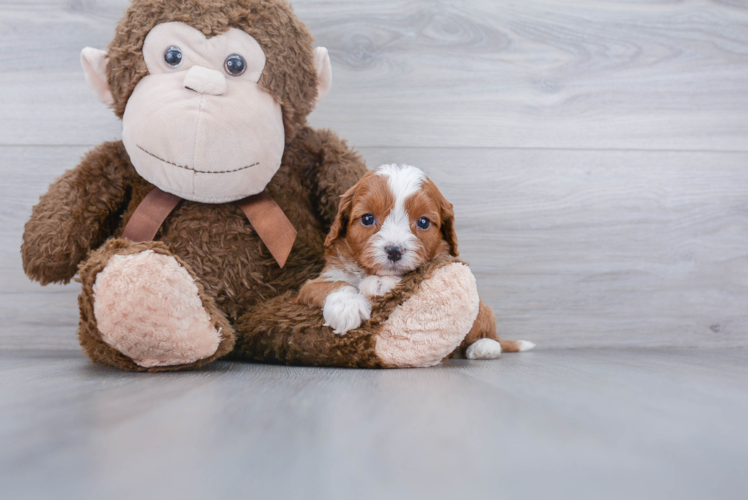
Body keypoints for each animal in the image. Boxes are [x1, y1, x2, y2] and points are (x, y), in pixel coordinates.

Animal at [296, 165, 536, 360]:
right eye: (367, 219)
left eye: (423, 222)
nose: (394, 251)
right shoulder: (317, 281)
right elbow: (329, 285)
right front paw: (348, 306)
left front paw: (380, 284)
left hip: (481, 311)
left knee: (486, 327)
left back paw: (485, 347)